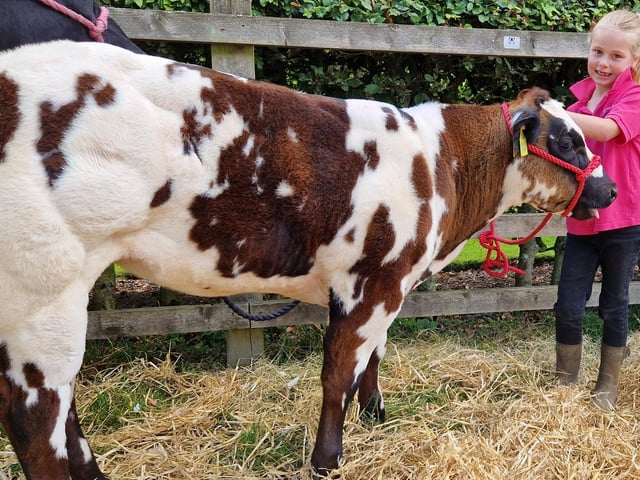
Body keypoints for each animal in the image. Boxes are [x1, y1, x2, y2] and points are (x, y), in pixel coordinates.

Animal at [0, 40, 617, 479]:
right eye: (566, 140)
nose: (608, 190)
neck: (442, 164)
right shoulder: (373, 280)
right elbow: (339, 371)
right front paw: (327, 460)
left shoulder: (386, 284)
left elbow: (375, 355)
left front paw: (375, 415)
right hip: (44, 289)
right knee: (36, 424)